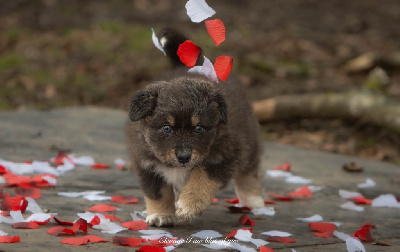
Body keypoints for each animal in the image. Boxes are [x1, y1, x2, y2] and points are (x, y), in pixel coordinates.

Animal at [126, 28, 262, 227]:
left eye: (198, 128)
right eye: (166, 128)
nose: (184, 157)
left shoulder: (224, 157)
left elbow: (200, 180)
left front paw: (187, 207)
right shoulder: (147, 165)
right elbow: (158, 192)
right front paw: (160, 215)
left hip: (248, 142)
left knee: (249, 172)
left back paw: (254, 201)